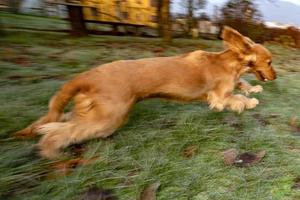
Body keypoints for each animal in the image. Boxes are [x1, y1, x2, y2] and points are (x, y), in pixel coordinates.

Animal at [15, 26, 276, 159]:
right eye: (270, 62)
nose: (275, 76)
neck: (229, 62)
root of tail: (89, 75)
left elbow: (242, 84)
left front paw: (253, 88)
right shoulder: (219, 96)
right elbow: (234, 97)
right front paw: (249, 102)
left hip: (93, 111)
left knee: (63, 120)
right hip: (108, 118)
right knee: (61, 130)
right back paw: (50, 149)